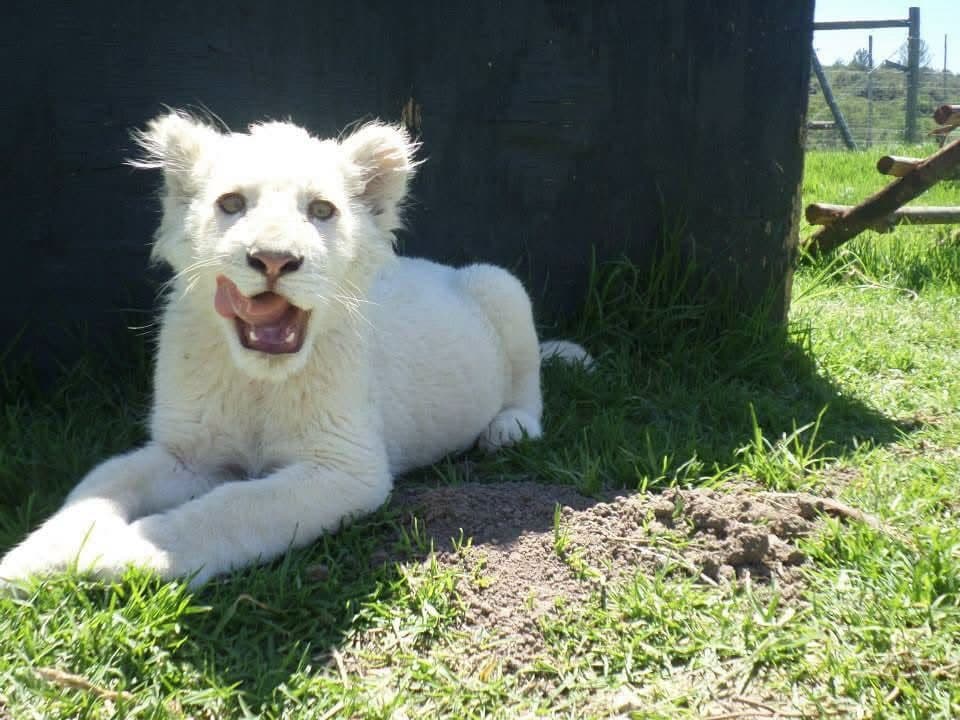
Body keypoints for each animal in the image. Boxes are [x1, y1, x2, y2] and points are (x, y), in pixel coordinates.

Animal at [0, 112, 589, 587]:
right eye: (231, 203)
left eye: (322, 210)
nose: (274, 259)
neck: (258, 379)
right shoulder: (188, 452)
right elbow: (101, 485)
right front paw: (33, 560)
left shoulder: (345, 468)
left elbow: (232, 507)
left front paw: (121, 552)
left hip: (499, 284)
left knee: (527, 383)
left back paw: (508, 428)